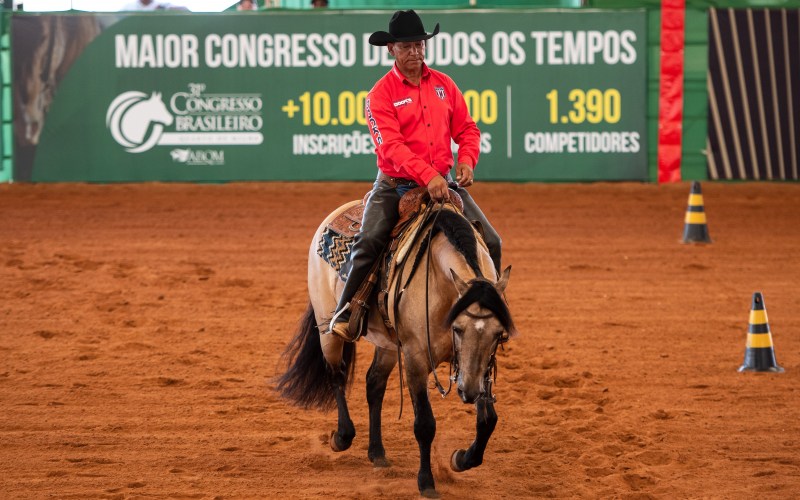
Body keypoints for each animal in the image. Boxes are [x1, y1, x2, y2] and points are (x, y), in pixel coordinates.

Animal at [276, 188, 516, 496]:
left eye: (499, 334)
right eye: (458, 328)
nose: (469, 392)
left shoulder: (477, 366)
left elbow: (488, 420)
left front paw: (461, 459)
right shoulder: (415, 358)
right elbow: (424, 424)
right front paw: (426, 483)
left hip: (389, 344)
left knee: (374, 383)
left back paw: (377, 452)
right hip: (326, 328)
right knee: (336, 375)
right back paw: (342, 437)